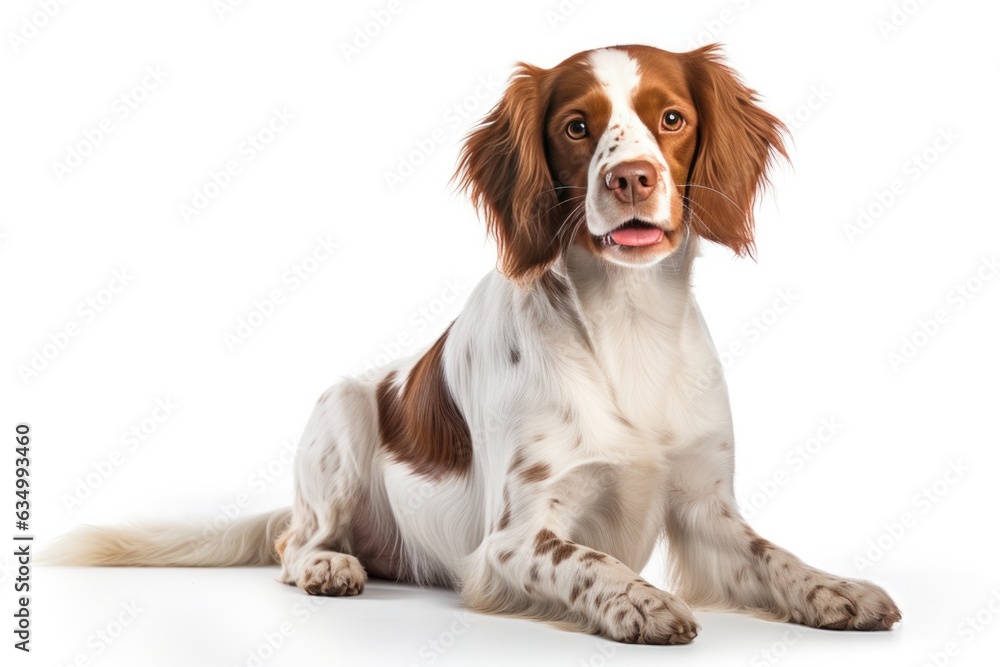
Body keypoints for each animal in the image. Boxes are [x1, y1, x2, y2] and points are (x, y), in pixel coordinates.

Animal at [47, 44, 904, 644]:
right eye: (577, 126)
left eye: (671, 118)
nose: (629, 177)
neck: (625, 324)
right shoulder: (510, 540)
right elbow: (588, 558)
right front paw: (639, 598)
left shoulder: (705, 509)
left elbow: (773, 554)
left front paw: (839, 588)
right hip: (343, 407)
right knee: (294, 538)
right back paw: (329, 563)